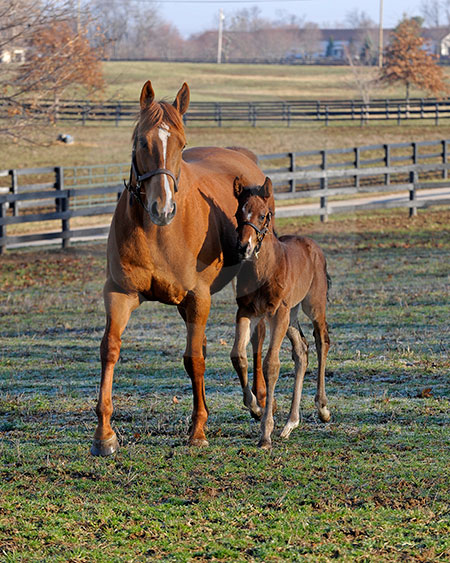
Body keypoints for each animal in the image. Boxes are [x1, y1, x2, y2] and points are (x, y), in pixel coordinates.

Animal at [232, 176, 330, 450]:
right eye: (238, 213)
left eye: (264, 215)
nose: (244, 248)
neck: (263, 270)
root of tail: (313, 246)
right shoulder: (246, 311)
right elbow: (238, 356)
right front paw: (255, 407)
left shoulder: (277, 313)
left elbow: (271, 364)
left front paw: (265, 434)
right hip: (292, 315)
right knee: (302, 350)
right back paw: (290, 423)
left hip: (312, 306)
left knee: (322, 341)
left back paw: (322, 408)